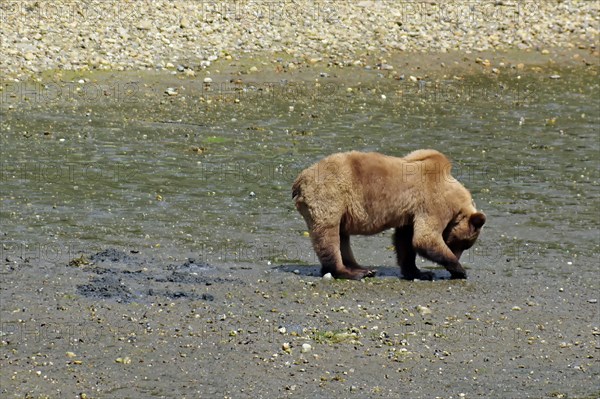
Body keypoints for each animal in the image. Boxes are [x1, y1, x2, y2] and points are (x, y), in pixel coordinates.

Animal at [292, 150, 486, 282]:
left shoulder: (410, 213)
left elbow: (406, 242)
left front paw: (419, 272)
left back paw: (362, 268)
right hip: (330, 195)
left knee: (341, 237)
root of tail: (299, 180)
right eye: (461, 243)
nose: (458, 256)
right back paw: (351, 272)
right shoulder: (433, 204)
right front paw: (459, 269)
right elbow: (425, 239)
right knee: (329, 235)